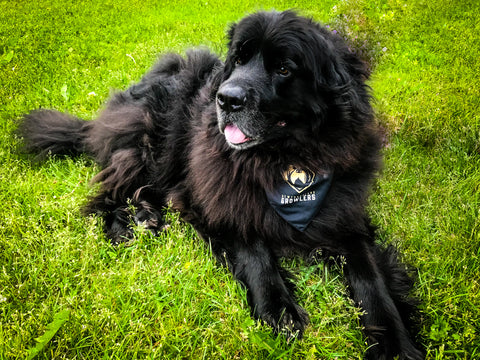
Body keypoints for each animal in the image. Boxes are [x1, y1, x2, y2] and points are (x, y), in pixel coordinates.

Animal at [20, 9, 422, 358]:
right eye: (239, 61)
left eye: (284, 68)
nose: (225, 98)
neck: (284, 161)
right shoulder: (210, 198)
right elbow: (253, 247)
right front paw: (279, 311)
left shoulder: (345, 211)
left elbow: (370, 277)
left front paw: (395, 340)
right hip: (154, 141)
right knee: (108, 190)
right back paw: (128, 222)